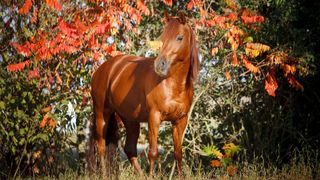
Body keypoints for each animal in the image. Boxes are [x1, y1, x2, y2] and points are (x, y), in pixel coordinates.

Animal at [86, 11, 199, 177]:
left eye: (179, 37)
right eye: (163, 37)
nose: (159, 65)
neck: (173, 85)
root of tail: (103, 69)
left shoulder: (180, 120)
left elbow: (178, 153)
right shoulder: (154, 117)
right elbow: (153, 152)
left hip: (130, 120)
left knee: (129, 149)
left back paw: (140, 175)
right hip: (102, 114)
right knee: (100, 146)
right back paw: (105, 175)